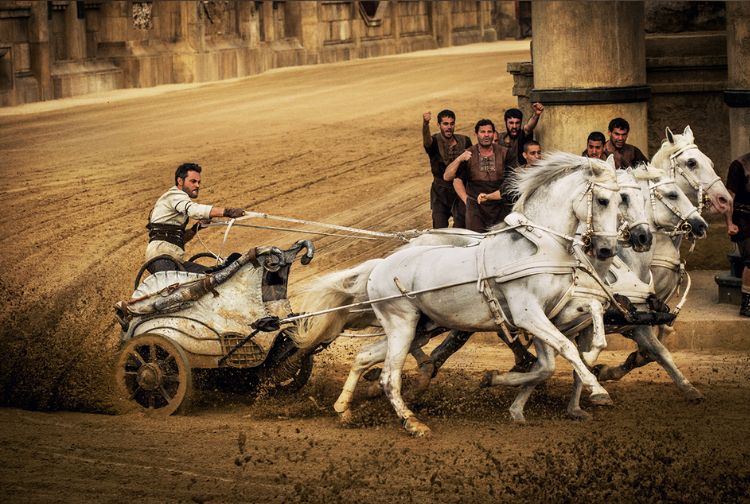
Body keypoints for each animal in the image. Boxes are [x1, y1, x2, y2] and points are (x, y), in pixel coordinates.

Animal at [296, 152, 624, 436]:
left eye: (621, 200)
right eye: (603, 200)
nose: (607, 249)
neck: (540, 246)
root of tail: (379, 265)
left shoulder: (553, 312)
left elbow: (576, 331)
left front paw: (496, 381)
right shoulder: (528, 314)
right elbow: (565, 349)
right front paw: (597, 389)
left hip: (419, 329)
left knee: (364, 356)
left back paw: (343, 410)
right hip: (402, 324)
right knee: (389, 376)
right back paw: (413, 423)